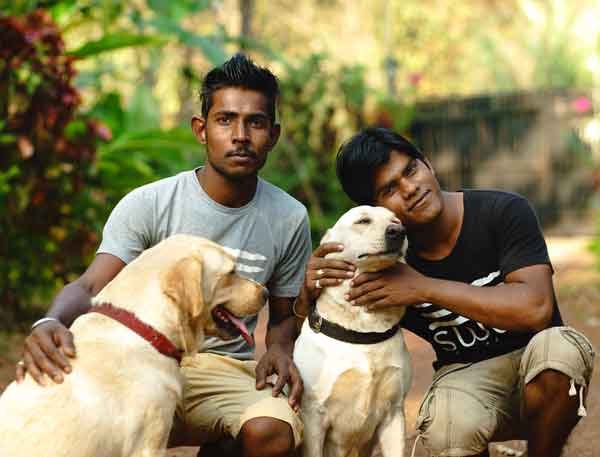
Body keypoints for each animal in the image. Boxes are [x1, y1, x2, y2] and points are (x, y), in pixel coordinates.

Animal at [294, 206, 412, 457]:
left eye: (396, 220)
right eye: (363, 221)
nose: (399, 231)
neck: (364, 330)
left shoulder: (394, 413)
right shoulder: (313, 415)